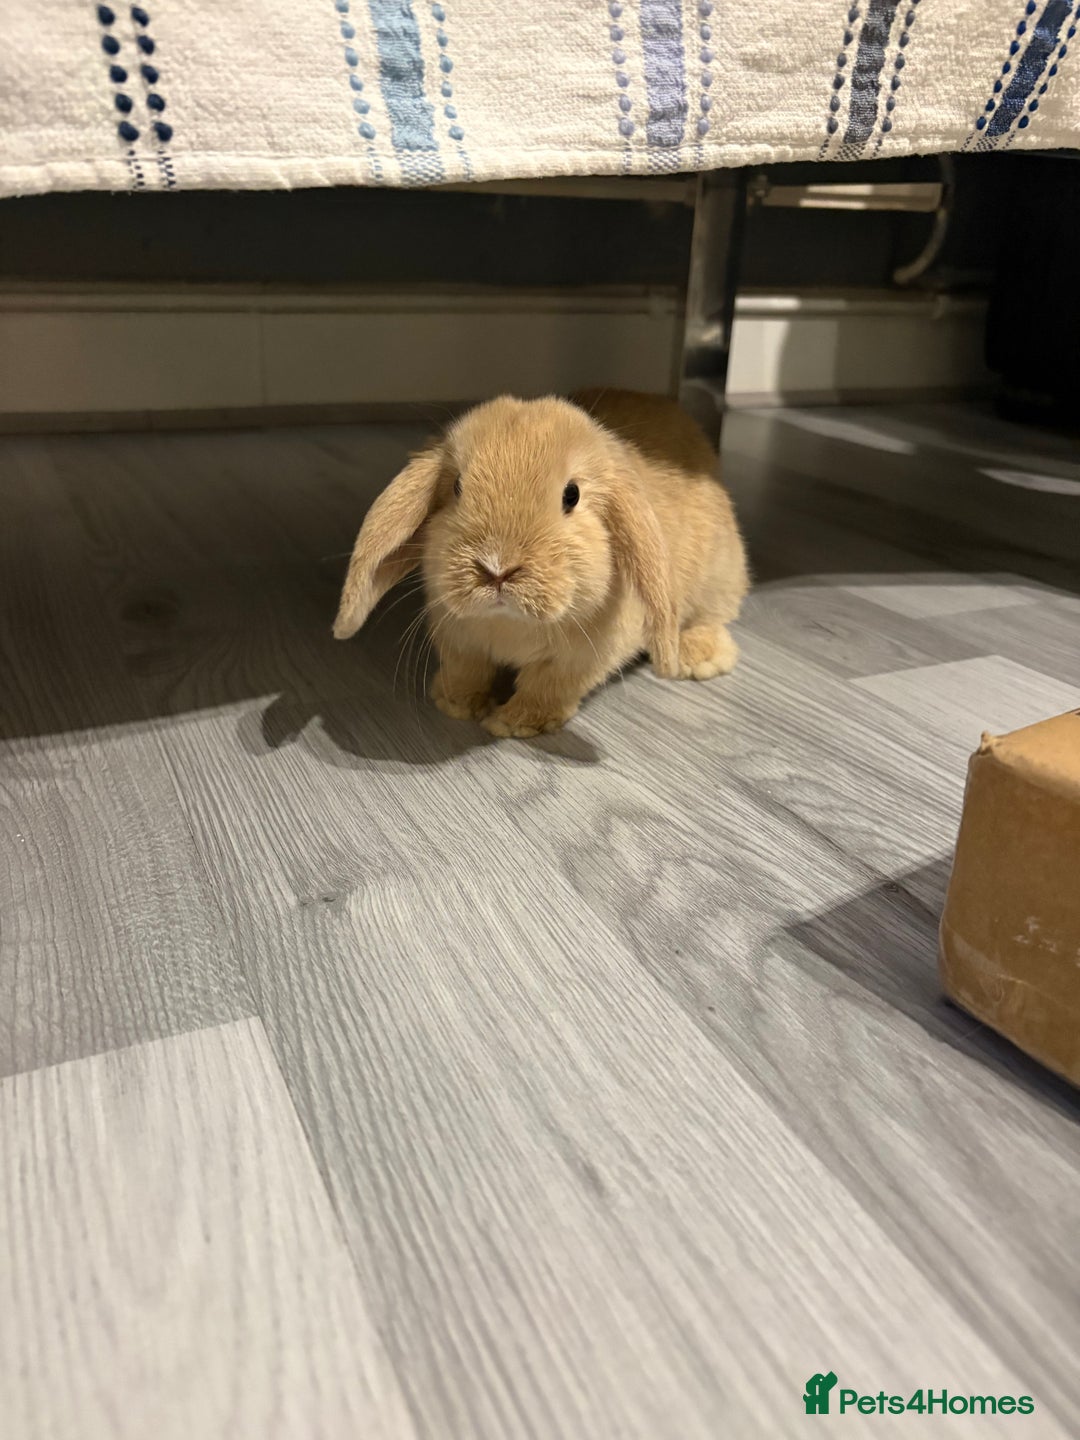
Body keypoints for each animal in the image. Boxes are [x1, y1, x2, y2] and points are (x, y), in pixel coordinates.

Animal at [333, 388, 749, 737]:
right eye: (456, 487)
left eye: (572, 495)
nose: (497, 569)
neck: (509, 623)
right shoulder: (458, 640)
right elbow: (467, 671)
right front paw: (455, 704)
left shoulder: (580, 661)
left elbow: (546, 688)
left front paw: (511, 723)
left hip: (719, 578)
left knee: (712, 618)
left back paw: (698, 657)